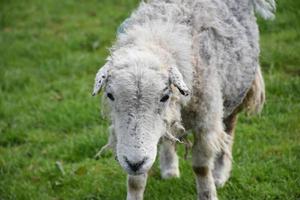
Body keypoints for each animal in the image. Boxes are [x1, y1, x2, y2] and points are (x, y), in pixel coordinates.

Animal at [91, 0, 274, 199]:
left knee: (228, 131)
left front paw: (208, 193)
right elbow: (135, 181)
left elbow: (201, 167)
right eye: (110, 95)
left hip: (235, 92)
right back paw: (170, 170)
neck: (157, 34)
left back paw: (220, 174)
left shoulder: (205, 122)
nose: (135, 163)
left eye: (164, 96)